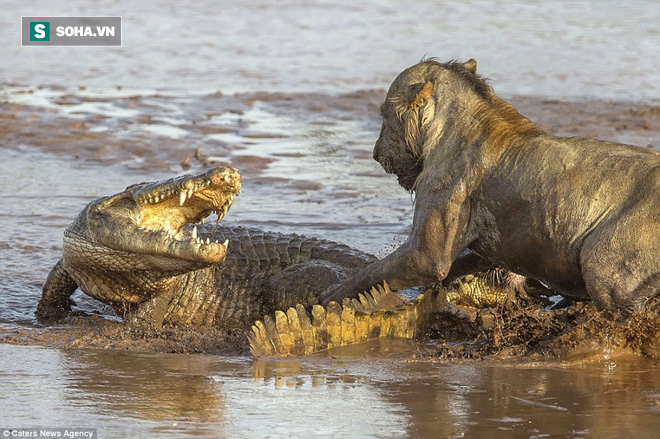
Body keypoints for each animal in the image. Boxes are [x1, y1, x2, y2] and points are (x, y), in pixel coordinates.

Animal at [324, 59, 660, 312]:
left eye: (384, 115)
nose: (375, 153)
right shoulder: (489, 248)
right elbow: (459, 265)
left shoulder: (427, 251)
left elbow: (375, 272)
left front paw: (329, 296)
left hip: (603, 268)